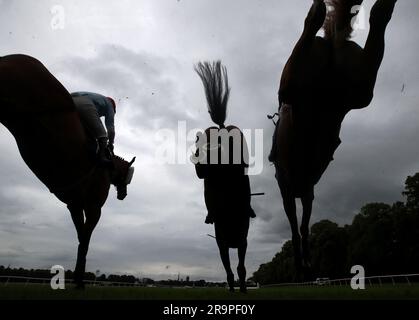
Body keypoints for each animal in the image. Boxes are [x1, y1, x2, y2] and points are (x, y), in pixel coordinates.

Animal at [0, 54, 135, 288]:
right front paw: (79, 281)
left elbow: (80, 238)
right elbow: (85, 241)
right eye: (128, 177)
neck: (106, 167)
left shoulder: (74, 205)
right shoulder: (93, 207)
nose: (123, 195)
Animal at [270, 0, 398, 276]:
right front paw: (303, 262)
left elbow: (298, 226)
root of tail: (331, 44)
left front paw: (302, 262)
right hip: (361, 92)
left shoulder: (292, 192)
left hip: (292, 85)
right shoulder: (303, 192)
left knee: (313, 22)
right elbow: (301, 225)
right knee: (378, 15)